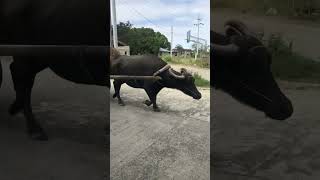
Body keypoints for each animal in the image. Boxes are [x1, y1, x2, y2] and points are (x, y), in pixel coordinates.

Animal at [0, 0, 109, 141]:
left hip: (42, 56)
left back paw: (15, 108)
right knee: (23, 80)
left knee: (19, 74)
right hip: (24, 51)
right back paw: (35, 129)